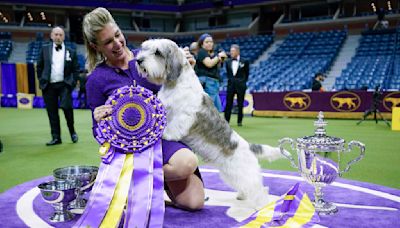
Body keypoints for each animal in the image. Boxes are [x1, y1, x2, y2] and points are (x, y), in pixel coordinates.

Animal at [137, 39, 284, 208]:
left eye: (157, 52)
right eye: (144, 48)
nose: (138, 60)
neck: (176, 84)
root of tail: (248, 146)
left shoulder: (184, 116)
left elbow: (173, 127)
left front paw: (164, 134)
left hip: (245, 173)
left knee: (260, 189)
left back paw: (262, 206)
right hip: (230, 173)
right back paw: (242, 195)